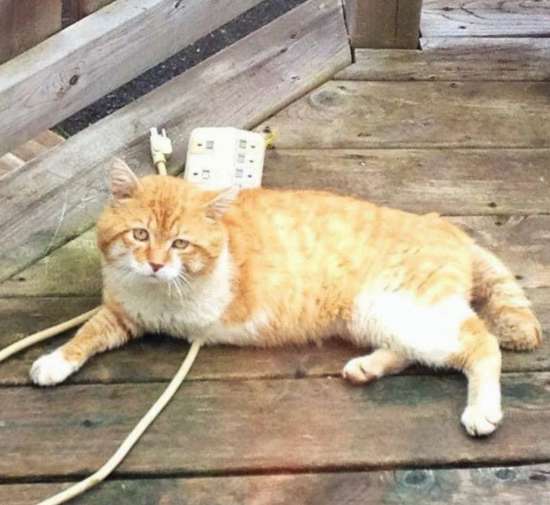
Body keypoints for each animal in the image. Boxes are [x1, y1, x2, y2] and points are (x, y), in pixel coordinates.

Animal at [31, 158, 544, 438]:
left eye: (179, 244)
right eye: (140, 235)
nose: (155, 264)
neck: (158, 292)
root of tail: (444, 224)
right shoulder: (123, 314)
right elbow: (86, 334)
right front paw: (55, 360)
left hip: (410, 310)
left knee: (480, 344)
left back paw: (482, 410)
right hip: (379, 319)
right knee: (413, 351)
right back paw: (367, 366)